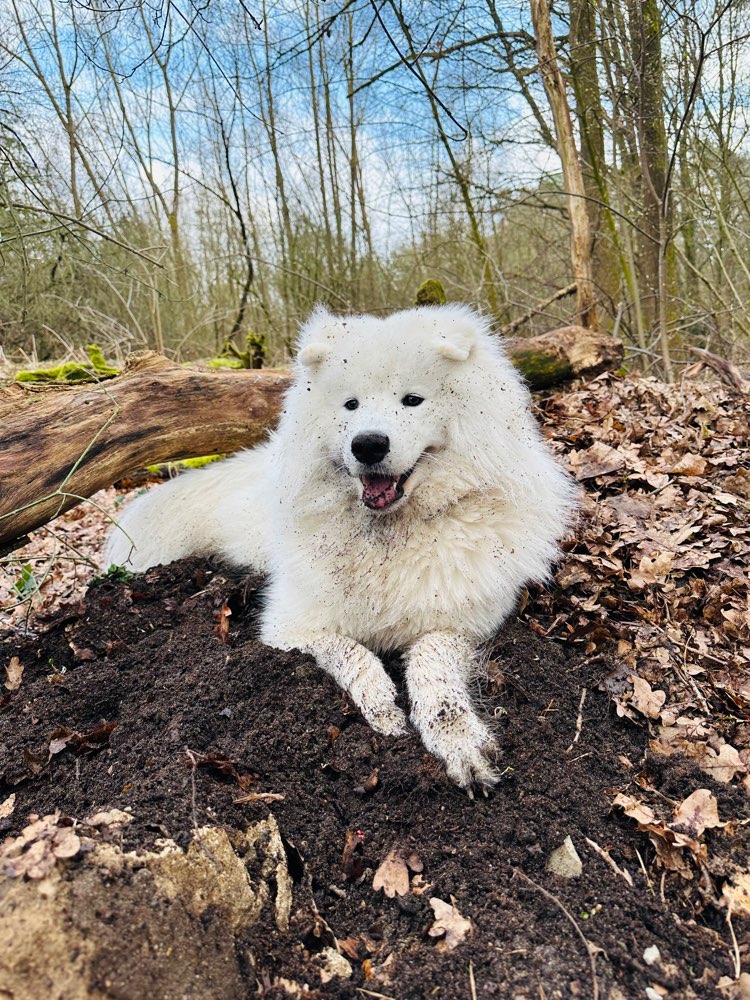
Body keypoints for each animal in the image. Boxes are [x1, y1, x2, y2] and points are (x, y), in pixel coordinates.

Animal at [104, 308, 576, 792]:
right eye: (351, 405)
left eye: (412, 400)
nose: (367, 444)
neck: (388, 534)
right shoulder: (288, 627)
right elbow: (349, 653)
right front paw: (382, 705)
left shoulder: (464, 625)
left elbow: (433, 666)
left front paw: (460, 741)